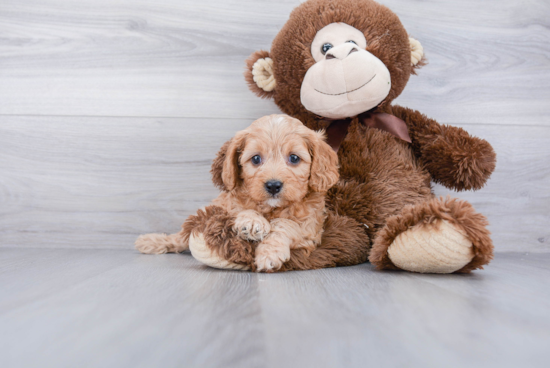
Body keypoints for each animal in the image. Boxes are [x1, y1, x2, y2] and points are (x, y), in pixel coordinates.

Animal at [135, 113, 340, 272]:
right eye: (256, 159)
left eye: (294, 158)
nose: (273, 186)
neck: (271, 209)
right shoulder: (227, 205)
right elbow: (240, 210)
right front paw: (252, 221)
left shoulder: (310, 228)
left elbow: (285, 224)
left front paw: (269, 253)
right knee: (181, 236)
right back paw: (152, 241)